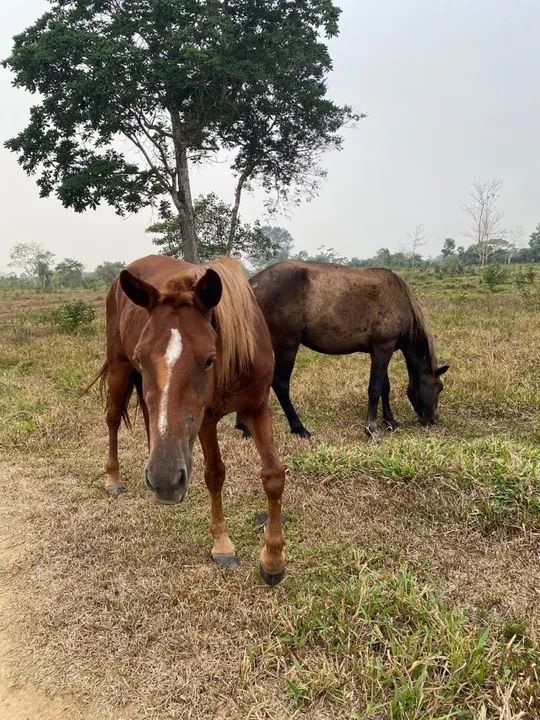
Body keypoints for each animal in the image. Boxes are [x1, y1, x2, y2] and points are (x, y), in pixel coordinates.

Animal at [92, 253, 286, 584]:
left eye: (209, 359)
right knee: (113, 418)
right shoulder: (206, 419)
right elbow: (215, 474)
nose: (166, 478)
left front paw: (273, 560)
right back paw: (114, 478)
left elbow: (273, 475)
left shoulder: (258, 408)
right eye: (141, 356)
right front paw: (223, 545)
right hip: (119, 367)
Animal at [236, 258, 448, 438]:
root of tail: (251, 284)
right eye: (439, 387)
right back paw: (299, 428)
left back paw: (244, 426)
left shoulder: (379, 350)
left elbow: (385, 388)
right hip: (287, 345)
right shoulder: (383, 349)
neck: (400, 299)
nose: (432, 420)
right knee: (280, 384)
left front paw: (390, 422)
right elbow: (375, 389)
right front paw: (371, 429)